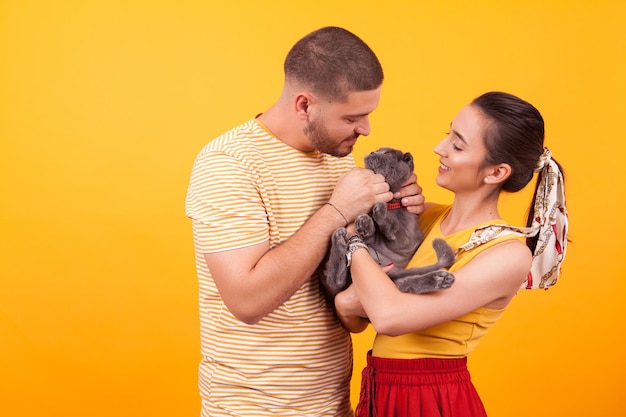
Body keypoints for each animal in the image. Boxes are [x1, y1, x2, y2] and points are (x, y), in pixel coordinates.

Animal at [322, 146, 454, 300]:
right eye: (377, 150)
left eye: (388, 153)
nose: (372, 152)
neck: (390, 203)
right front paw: (365, 221)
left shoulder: (406, 240)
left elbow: (394, 226)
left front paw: (377, 213)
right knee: (334, 280)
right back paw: (338, 237)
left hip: (393, 280)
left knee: (406, 285)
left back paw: (440, 279)